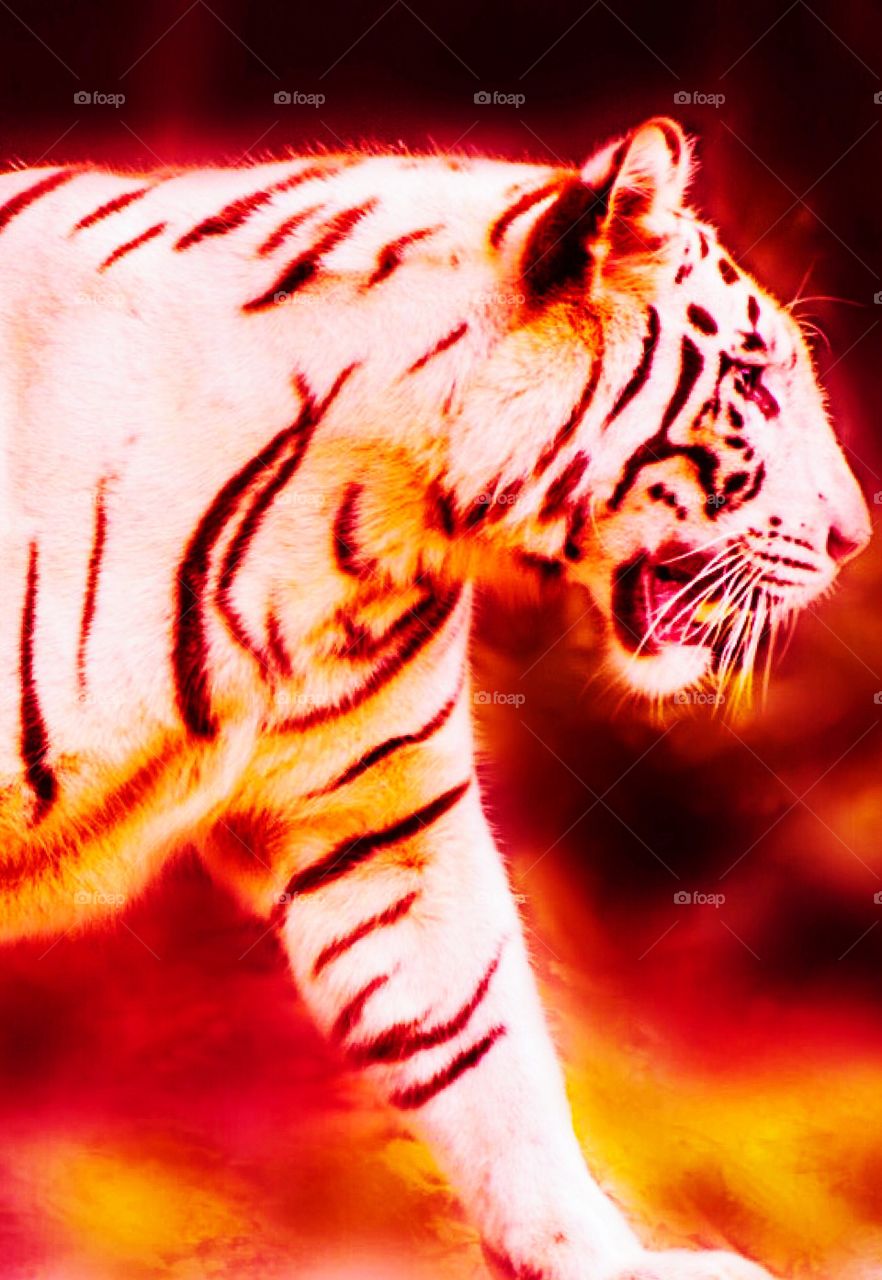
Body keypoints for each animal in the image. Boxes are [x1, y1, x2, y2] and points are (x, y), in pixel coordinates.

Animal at [0, 116, 869, 1280]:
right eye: (757, 386)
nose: (854, 536)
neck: (369, 514)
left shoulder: (383, 824)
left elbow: (480, 1037)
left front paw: (600, 1255)